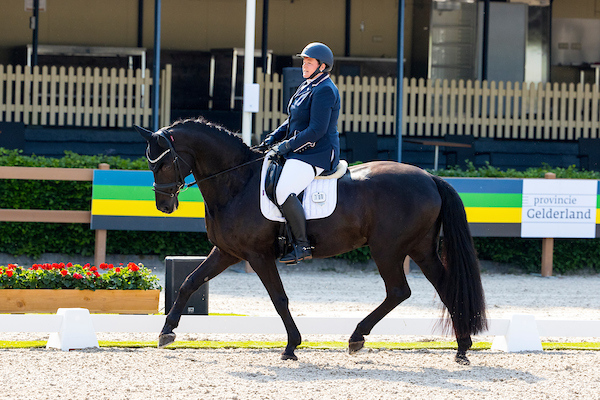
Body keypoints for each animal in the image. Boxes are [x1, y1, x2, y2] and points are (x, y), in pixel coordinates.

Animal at [136, 116, 488, 366]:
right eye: (150, 163)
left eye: (163, 162)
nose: (163, 206)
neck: (238, 182)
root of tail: (429, 177)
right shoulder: (227, 252)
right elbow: (189, 283)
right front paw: (166, 332)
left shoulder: (257, 255)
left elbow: (279, 298)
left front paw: (291, 345)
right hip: (420, 249)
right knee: (444, 287)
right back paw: (462, 348)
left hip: (387, 249)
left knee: (399, 291)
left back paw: (357, 337)